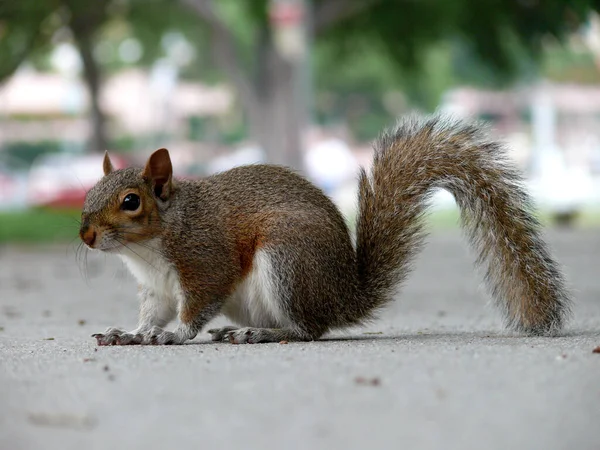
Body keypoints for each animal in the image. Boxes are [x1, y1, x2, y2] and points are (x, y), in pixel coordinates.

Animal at [81, 115, 572, 344]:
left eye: (131, 202)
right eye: (89, 189)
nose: (85, 235)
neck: (149, 250)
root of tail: (345, 296)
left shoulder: (205, 260)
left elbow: (195, 307)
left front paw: (173, 335)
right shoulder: (157, 288)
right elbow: (152, 313)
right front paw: (133, 333)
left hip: (288, 258)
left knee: (308, 329)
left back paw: (264, 334)